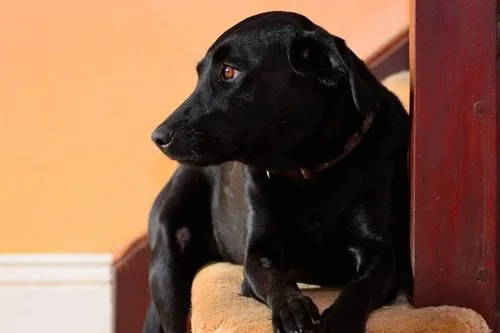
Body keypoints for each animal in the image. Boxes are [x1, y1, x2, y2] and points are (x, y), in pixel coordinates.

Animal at [143, 10, 412, 332]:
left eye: (228, 72)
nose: (158, 137)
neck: (310, 173)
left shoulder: (381, 253)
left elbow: (358, 288)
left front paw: (335, 321)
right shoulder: (259, 254)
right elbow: (275, 280)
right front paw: (292, 309)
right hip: (168, 258)